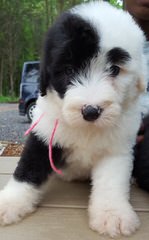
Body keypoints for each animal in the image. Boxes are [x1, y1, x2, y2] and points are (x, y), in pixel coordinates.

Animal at [0, 1, 147, 238]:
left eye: (114, 69)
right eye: (69, 70)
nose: (91, 111)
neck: (85, 128)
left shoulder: (117, 148)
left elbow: (111, 181)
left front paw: (112, 214)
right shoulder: (44, 134)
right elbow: (27, 170)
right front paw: (10, 202)